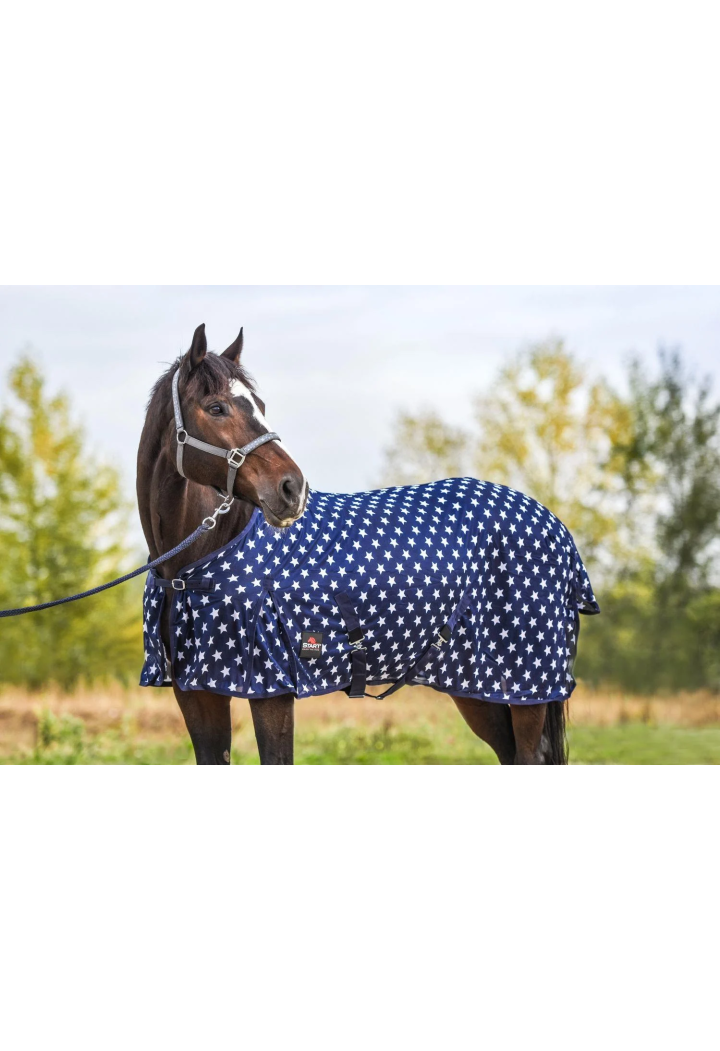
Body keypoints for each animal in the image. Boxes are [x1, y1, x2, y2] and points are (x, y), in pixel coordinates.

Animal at [137, 324, 599, 765]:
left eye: (260, 406)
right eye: (216, 408)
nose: (292, 489)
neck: (198, 562)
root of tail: (553, 525)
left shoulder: (272, 691)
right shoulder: (195, 693)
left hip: (527, 686)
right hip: (479, 689)